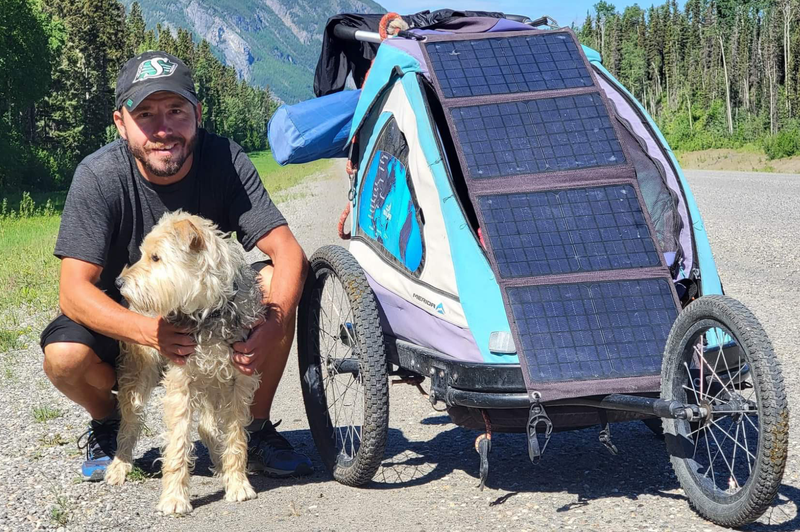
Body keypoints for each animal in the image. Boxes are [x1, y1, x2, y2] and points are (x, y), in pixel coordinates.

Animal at [103, 211, 264, 516]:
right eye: (144, 254)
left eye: (156, 257)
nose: (119, 283)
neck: (209, 310)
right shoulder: (181, 383)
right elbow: (177, 444)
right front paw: (175, 497)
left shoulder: (238, 381)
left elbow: (235, 437)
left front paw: (237, 483)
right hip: (138, 375)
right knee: (129, 424)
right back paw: (119, 465)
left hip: (213, 382)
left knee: (207, 427)